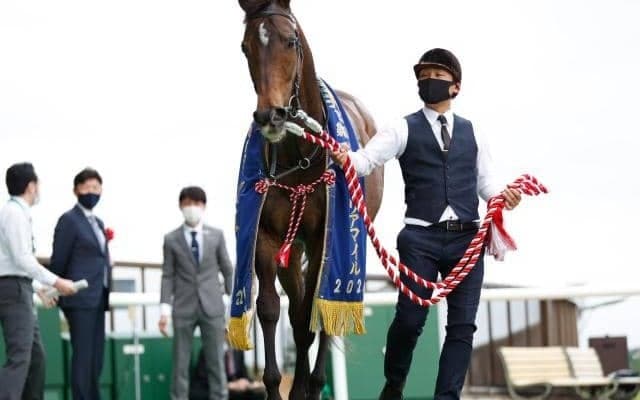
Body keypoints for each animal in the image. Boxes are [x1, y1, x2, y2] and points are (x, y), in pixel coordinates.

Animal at [238, 0, 383, 398]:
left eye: (290, 41)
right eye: (246, 47)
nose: (270, 115)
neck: (299, 156)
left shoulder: (323, 239)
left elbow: (312, 314)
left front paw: (309, 385)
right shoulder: (268, 237)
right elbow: (271, 309)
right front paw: (276, 385)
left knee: (318, 309)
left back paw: (311, 383)